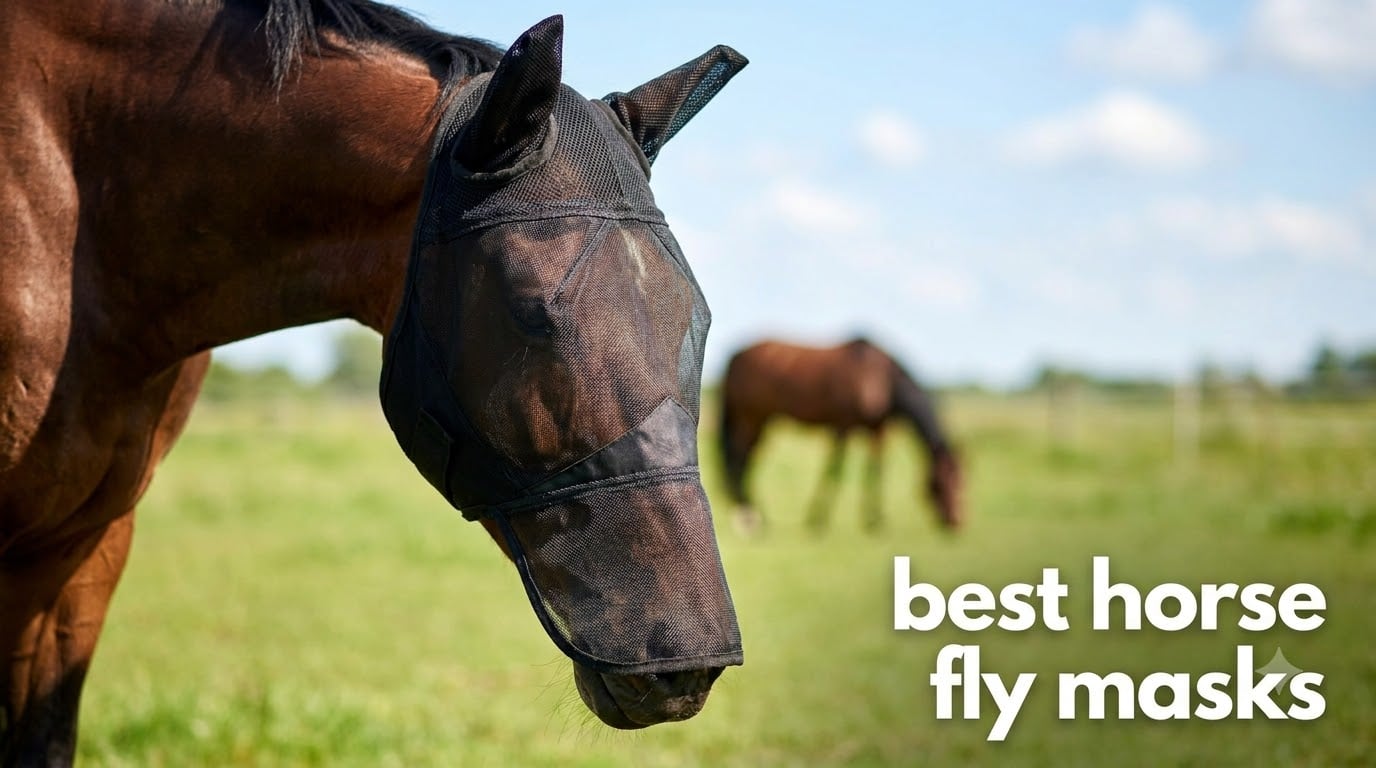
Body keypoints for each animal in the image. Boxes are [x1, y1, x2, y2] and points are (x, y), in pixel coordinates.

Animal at [719, 338, 963, 533]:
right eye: (940, 484)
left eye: (961, 482)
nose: (956, 523)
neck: (878, 378)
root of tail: (736, 354)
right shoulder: (842, 424)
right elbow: (836, 469)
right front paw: (817, 519)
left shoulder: (878, 430)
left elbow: (875, 470)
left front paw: (875, 520)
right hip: (749, 417)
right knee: (738, 461)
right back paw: (751, 518)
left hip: (763, 421)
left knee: (747, 461)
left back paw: (758, 515)